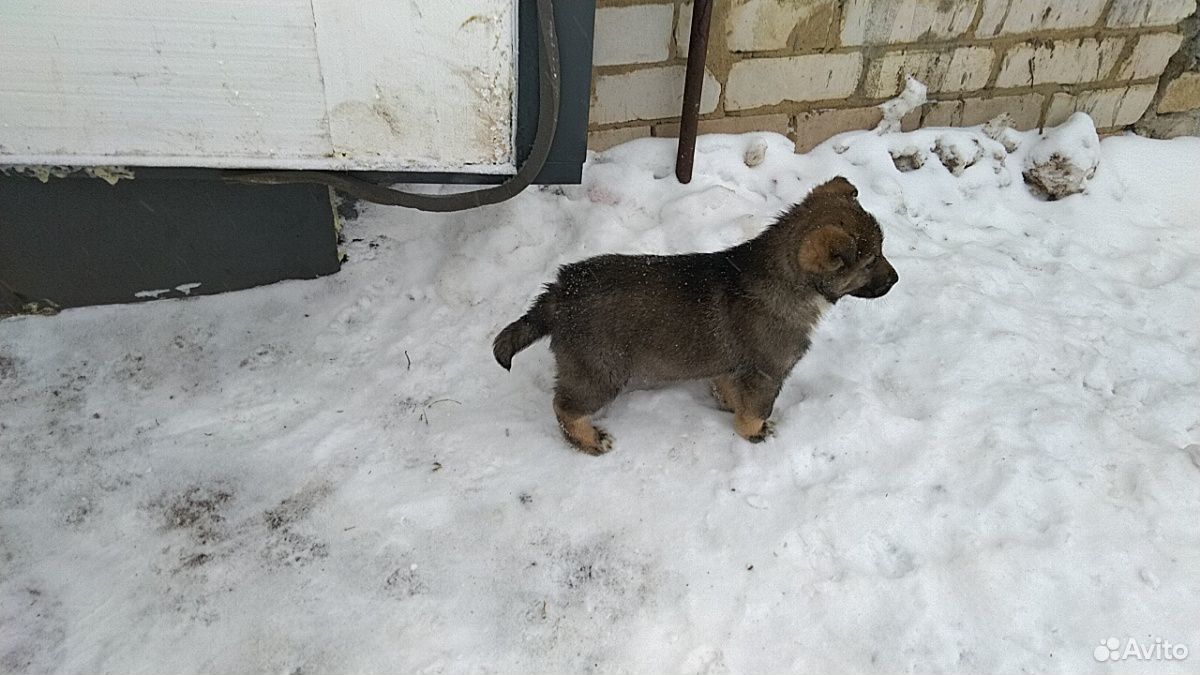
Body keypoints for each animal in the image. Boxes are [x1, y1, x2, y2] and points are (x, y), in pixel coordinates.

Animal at [492, 176, 897, 454]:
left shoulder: (735, 367)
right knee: (564, 406)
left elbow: (733, 392)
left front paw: (730, 407)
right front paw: (754, 433)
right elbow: (758, 409)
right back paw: (589, 440)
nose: (895, 279)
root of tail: (560, 292)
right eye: (870, 262)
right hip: (601, 372)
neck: (787, 280)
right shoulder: (768, 372)